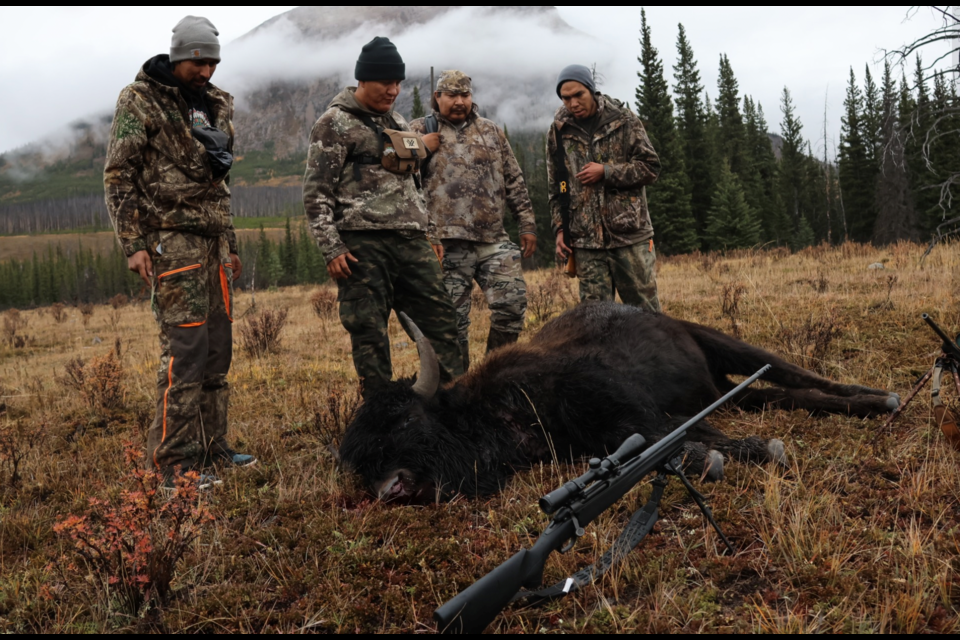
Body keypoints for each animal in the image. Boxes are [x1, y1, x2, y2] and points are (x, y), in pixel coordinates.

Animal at [340, 302, 900, 502]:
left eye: (404, 419)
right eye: (355, 460)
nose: (390, 489)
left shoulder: (623, 410)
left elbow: (672, 438)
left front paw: (759, 451)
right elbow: (685, 438)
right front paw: (726, 454)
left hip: (726, 345)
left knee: (795, 375)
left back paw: (883, 399)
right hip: (721, 386)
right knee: (778, 393)